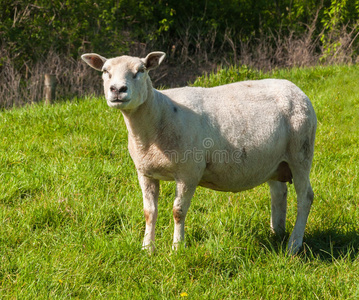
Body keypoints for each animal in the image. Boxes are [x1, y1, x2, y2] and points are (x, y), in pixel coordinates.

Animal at [82, 52, 318, 255]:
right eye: (105, 71)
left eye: (141, 70)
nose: (117, 90)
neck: (158, 117)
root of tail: (297, 89)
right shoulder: (145, 172)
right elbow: (149, 212)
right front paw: (147, 249)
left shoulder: (189, 172)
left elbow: (178, 211)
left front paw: (177, 248)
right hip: (275, 161)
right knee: (279, 193)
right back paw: (276, 233)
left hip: (301, 153)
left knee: (305, 197)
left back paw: (293, 245)